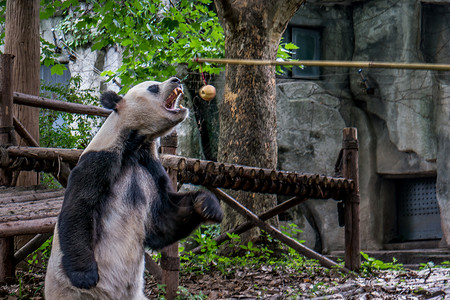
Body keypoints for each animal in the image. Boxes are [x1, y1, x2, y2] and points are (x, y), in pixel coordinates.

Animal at [44, 77, 223, 300]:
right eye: (153, 87)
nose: (176, 79)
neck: (136, 145)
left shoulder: (151, 167)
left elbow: (162, 219)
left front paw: (208, 205)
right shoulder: (99, 161)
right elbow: (79, 208)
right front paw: (85, 276)